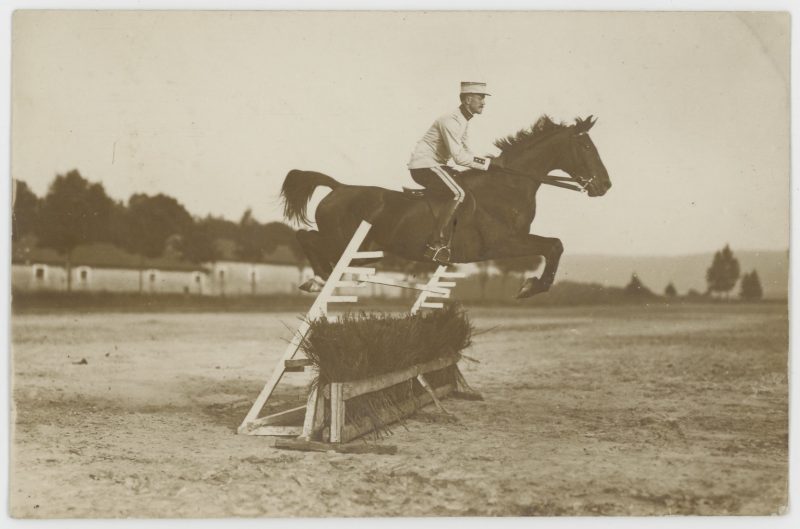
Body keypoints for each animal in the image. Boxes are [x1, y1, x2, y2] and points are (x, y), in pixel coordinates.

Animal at [278, 115, 608, 296]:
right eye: (585, 146)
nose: (605, 185)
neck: (507, 187)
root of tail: (339, 188)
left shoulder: (514, 241)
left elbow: (554, 245)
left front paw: (533, 285)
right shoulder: (502, 243)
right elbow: (553, 245)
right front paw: (532, 287)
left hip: (361, 250)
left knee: (308, 239)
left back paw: (320, 278)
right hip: (344, 242)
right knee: (304, 236)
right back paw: (319, 279)